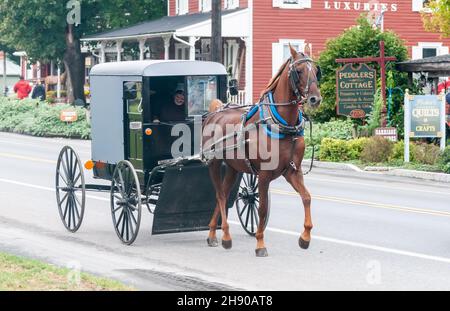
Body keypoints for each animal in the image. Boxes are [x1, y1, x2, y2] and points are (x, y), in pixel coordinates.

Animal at [202, 45, 322, 258]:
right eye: (299, 71)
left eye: (316, 71)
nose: (315, 99)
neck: (282, 125)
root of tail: (216, 111)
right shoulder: (264, 175)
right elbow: (263, 209)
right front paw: (260, 244)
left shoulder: (293, 171)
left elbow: (307, 198)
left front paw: (305, 237)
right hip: (214, 163)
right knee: (220, 196)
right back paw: (225, 236)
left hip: (233, 168)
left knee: (223, 193)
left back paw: (212, 233)